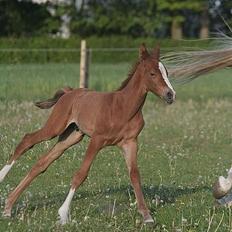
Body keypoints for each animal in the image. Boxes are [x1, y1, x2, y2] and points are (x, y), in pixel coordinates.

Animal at [0, 44, 174, 225]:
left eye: (167, 73)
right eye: (152, 73)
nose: (170, 95)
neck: (123, 108)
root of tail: (69, 92)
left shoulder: (130, 142)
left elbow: (135, 175)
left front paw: (147, 216)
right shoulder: (97, 140)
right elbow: (81, 174)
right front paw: (63, 214)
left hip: (71, 137)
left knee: (41, 164)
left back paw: (8, 207)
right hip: (55, 127)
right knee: (27, 140)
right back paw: (2, 179)